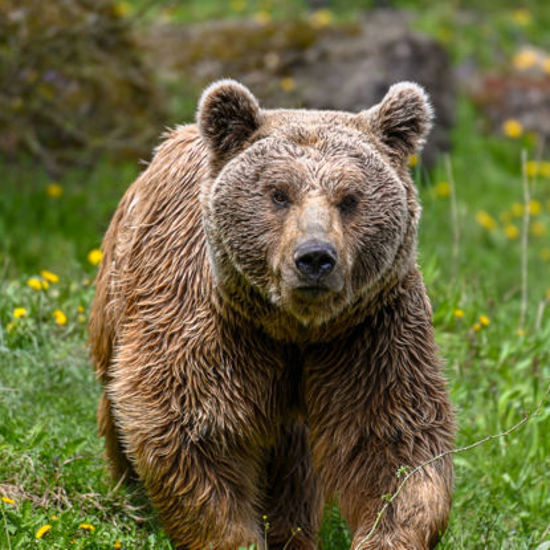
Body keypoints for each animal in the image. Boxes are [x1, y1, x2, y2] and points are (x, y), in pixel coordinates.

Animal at [89, 78, 458, 550]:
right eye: (279, 193)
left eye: (349, 198)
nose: (315, 257)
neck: (296, 327)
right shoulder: (214, 326)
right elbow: (195, 430)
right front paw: (235, 535)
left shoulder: (369, 330)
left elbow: (392, 440)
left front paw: (385, 533)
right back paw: (131, 499)